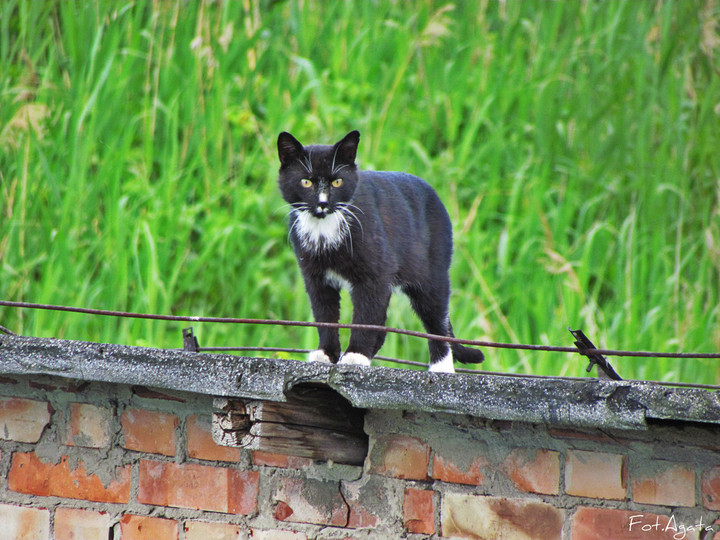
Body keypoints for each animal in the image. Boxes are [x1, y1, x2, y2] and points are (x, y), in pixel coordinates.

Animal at [278, 132, 484, 376]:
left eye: (337, 181)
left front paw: (355, 356)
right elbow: (324, 314)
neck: (324, 228)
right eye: (306, 182)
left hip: (432, 271)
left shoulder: (374, 276)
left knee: (436, 317)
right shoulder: (315, 276)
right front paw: (327, 354)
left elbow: (366, 316)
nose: (322, 203)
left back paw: (441, 368)